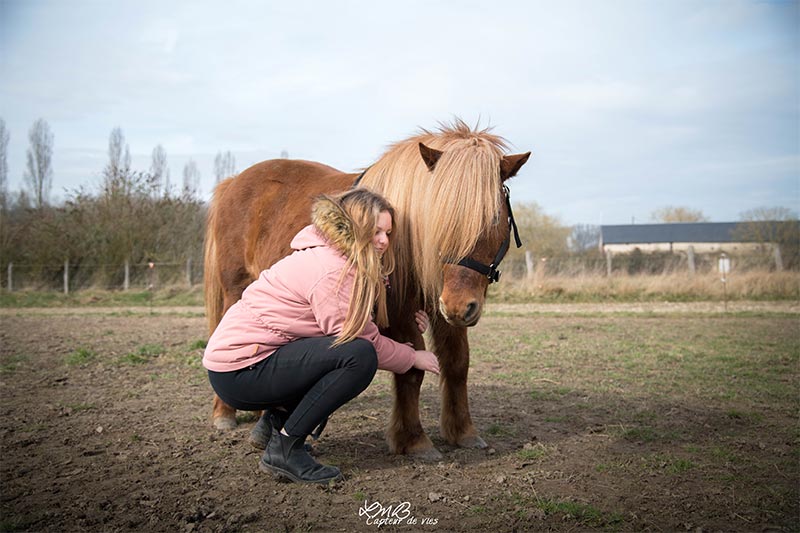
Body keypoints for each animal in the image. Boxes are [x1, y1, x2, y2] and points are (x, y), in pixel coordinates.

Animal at [205, 119, 532, 458]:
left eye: (495, 218)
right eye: (439, 218)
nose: (459, 305)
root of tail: (233, 181)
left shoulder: (445, 309)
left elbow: (457, 362)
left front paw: (463, 432)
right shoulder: (399, 312)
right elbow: (411, 367)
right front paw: (413, 440)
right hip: (235, 291)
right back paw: (225, 414)